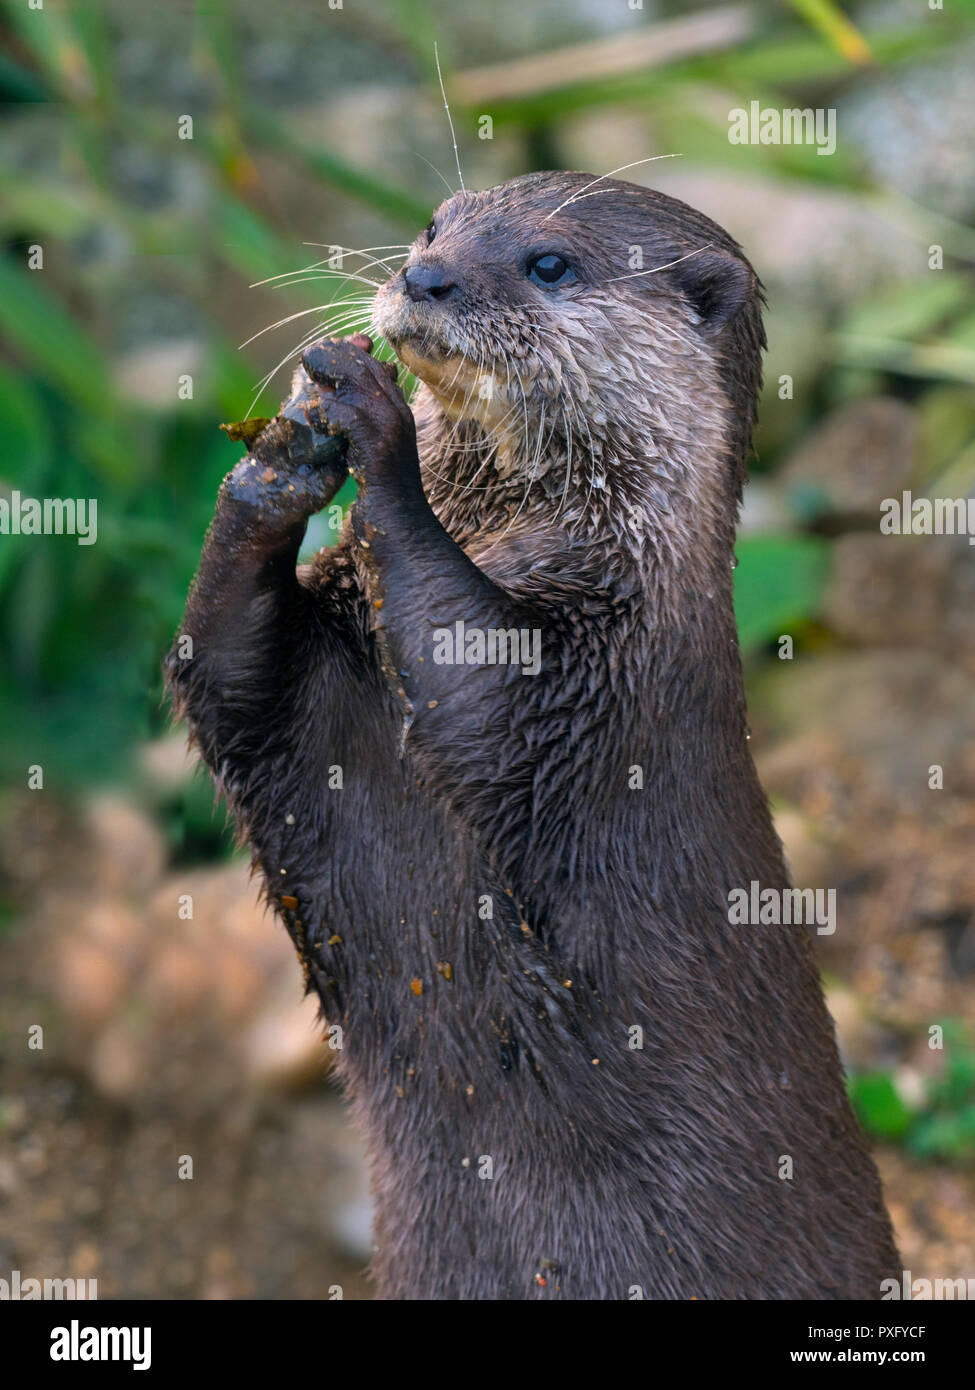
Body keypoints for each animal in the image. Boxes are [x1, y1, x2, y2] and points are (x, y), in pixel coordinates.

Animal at [165, 173, 895, 1301]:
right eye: (433, 225)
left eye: (549, 264)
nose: (424, 276)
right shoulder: (296, 689)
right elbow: (228, 670)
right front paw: (283, 454)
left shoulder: (600, 685)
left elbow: (480, 692)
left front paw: (371, 422)